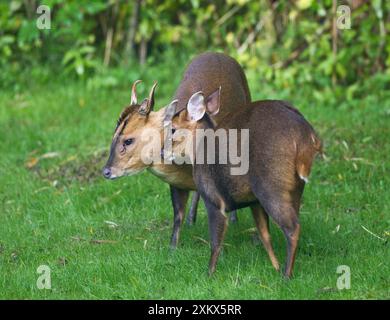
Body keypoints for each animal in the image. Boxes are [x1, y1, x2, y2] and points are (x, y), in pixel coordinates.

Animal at [102, 52, 251, 248]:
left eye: (128, 140)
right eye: (113, 135)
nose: (106, 171)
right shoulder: (176, 184)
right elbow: (177, 215)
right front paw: (172, 248)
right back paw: (192, 220)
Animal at [163, 90, 322, 278]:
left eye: (173, 128)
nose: (161, 152)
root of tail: (307, 137)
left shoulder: (214, 199)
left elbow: (215, 241)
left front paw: (209, 274)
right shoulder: (254, 202)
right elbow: (264, 235)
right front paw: (275, 267)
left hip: (271, 186)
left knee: (292, 228)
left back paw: (286, 276)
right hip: (295, 188)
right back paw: (283, 271)